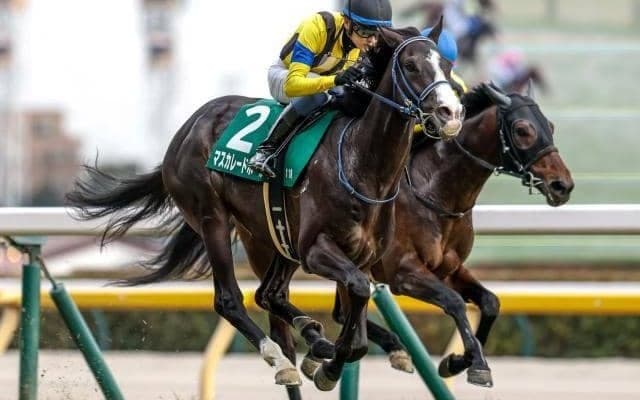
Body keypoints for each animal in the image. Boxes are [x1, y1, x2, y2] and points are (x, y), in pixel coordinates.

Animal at [66, 23, 465, 393]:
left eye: (446, 65)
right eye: (411, 66)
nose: (450, 113)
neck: (361, 165)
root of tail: (187, 128)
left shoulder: (361, 256)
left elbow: (356, 311)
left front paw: (332, 354)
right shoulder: (315, 250)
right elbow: (358, 299)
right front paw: (329, 367)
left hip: (275, 235)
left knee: (268, 294)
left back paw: (311, 334)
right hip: (213, 218)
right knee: (229, 300)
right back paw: (280, 356)